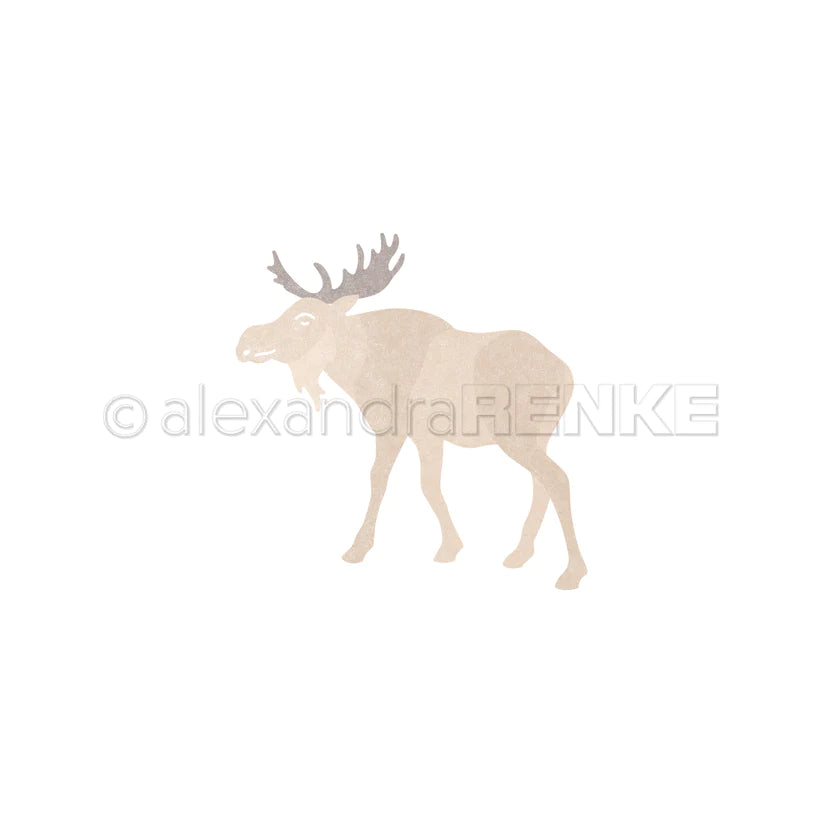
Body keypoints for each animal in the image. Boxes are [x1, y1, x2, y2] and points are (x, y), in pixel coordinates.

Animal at [236, 234, 587, 589]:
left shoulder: (391, 426)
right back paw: (519, 554)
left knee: (557, 478)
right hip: (538, 436)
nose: (245, 341)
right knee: (540, 483)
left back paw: (572, 571)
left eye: (303, 318)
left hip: (515, 434)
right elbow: (430, 484)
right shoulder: (427, 436)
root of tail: (566, 371)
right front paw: (449, 547)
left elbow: (379, 477)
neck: (359, 367)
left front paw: (357, 548)